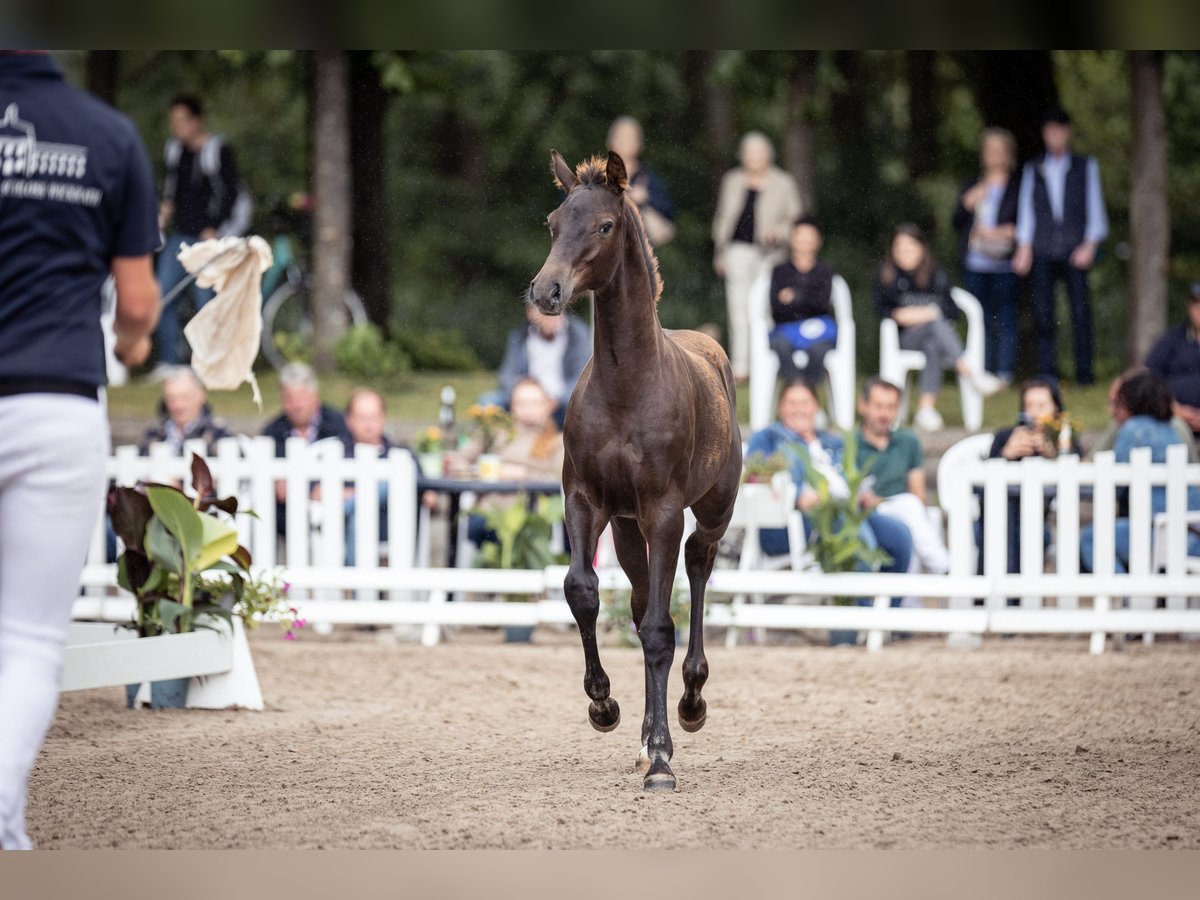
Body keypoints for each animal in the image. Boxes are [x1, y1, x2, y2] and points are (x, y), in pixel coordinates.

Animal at [528, 151, 739, 792]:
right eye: (552, 222)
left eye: (604, 226)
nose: (546, 291)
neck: (627, 386)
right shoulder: (585, 499)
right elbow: (583, 591)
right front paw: (604, 705)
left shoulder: (664, 510)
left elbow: (658, 629)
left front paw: (665, 760)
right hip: (627, 529)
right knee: (644, 597)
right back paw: (645, 738)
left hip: (711, 510)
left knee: (696, 567)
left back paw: (689, 705)